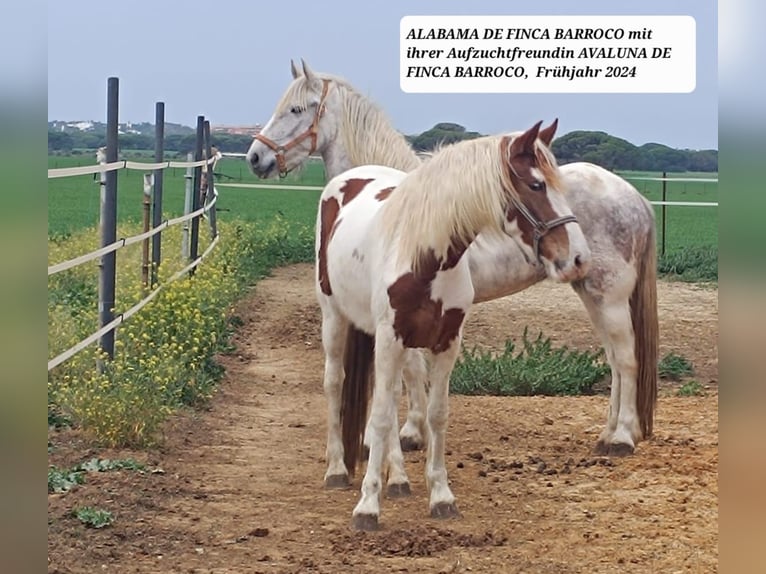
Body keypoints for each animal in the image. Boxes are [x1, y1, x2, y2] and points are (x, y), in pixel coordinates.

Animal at [246, 59, 660, 482]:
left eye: (297, 109)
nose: (255, 157)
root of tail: (636, 197)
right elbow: (412, 372)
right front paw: (412, 432)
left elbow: (411, 373)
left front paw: (408, 437)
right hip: (589, 291)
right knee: (614, 360)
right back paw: (607, 433)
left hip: (609, 296)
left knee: (627, 358)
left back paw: (623, 437)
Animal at [316, 125, 592, 532]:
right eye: (536, 185)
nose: (578, 259)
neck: (424, 257)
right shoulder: (390, 338)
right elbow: (379, 417)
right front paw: (367, 506)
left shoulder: (445, 342)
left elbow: (436, 414)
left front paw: (441, 496)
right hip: (334, 317)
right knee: (336, 382)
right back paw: (337, 469)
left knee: (394, 396)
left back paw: (398, 479)